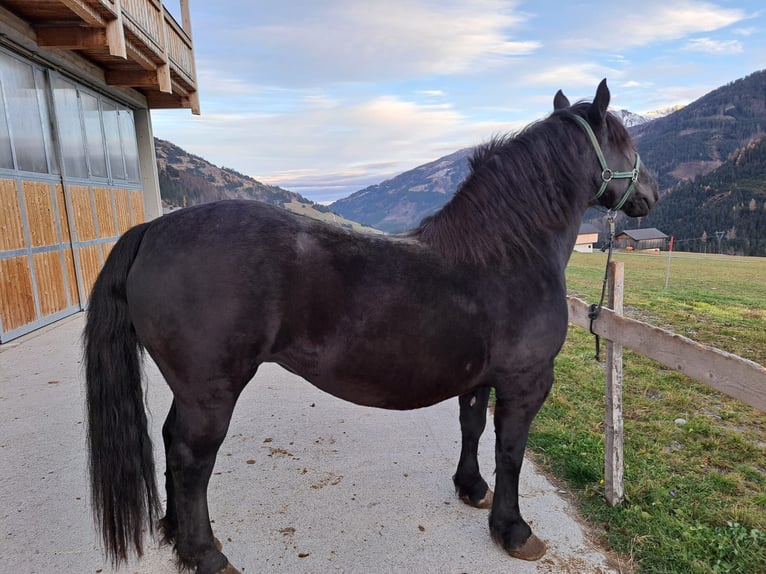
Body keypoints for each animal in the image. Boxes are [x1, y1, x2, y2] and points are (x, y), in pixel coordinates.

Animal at [85, 79, 660, 572]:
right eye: (625, 140)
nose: (651, 192)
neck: (505, 254)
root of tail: (153, 228)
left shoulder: (477, 378)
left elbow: (472, 428)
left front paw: (471, 488)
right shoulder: (526, 382)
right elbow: (511, 452)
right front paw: (513, 530)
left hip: (191, 389)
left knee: (170, 442)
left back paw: (174, 534)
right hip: (212, 393)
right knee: (190, 459)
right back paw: (205, 554)